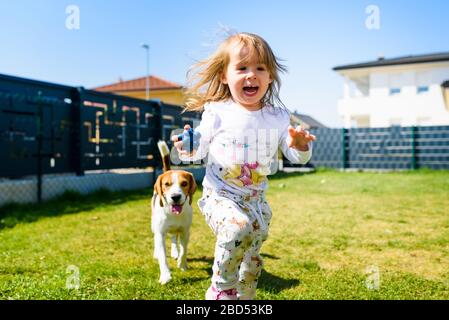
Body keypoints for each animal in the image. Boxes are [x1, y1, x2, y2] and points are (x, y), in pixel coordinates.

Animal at [150, 141, 196, 284]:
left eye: (184, 183)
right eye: (167, 184)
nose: (175, 197)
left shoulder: (185, 231)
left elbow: (184, 250)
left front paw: (182, 264)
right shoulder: (160, 234)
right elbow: (163, 257)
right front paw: (165, 275)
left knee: (174, 238)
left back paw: (176, 252)